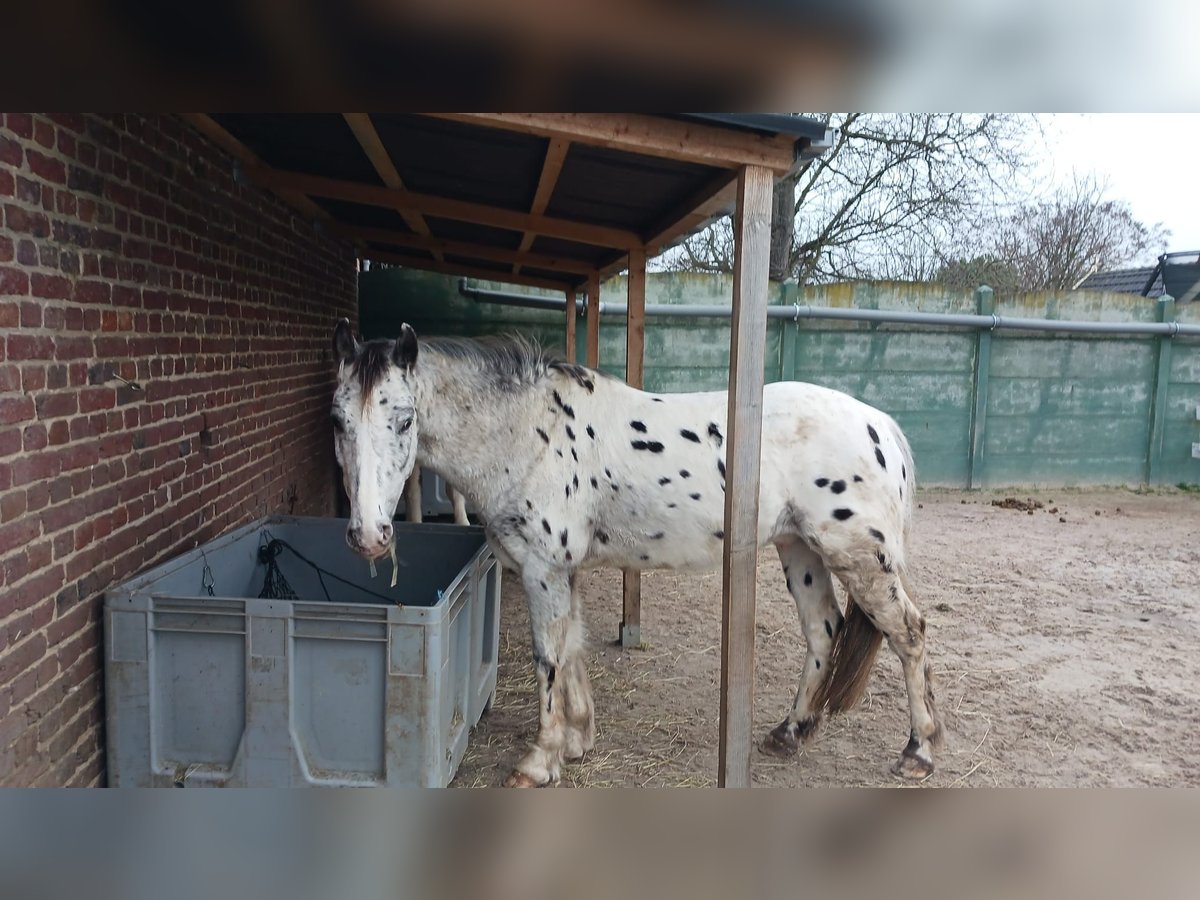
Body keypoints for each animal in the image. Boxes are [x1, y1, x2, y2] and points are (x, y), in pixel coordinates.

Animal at [333, 321, 940, 787]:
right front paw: (579, 738)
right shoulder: (562, 571)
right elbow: (571, 648)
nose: (368, 536)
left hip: (859, 558)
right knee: (823, 631)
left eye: (404, 419)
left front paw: (539, 761)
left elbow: (547, 658)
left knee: (908, 633)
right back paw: (789, 733)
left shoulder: (542, 570)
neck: (529, 434)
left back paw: (918, 752)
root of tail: (879, 424)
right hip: (800, 549)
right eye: (338, 421)